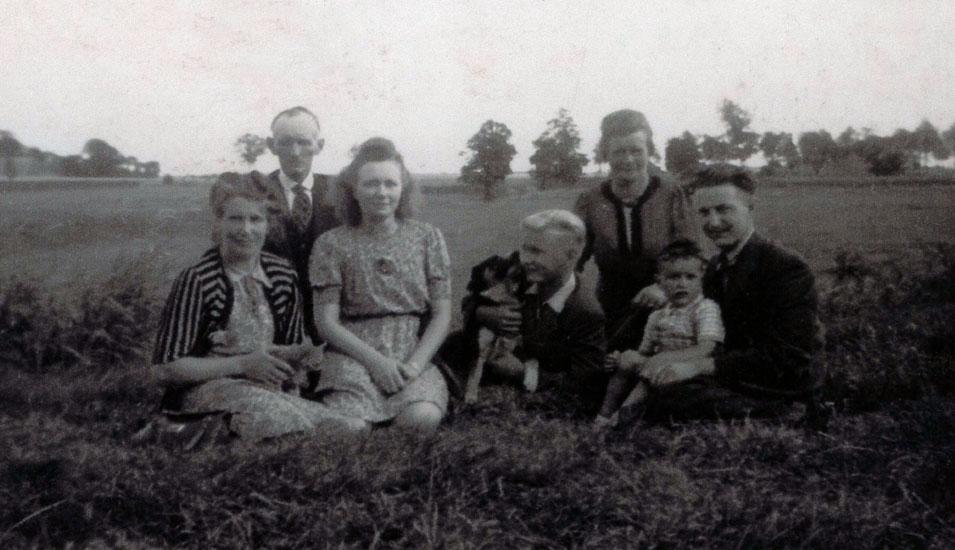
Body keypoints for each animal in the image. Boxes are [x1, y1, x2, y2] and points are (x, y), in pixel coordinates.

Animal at [466, 253, 540, 406]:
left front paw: (531, 382)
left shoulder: (524, 343)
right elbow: (474, 373)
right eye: (495, 260)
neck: (504, 302)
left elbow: (533, 361)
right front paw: (470, 396)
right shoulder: (479, 347)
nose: (516, 253)